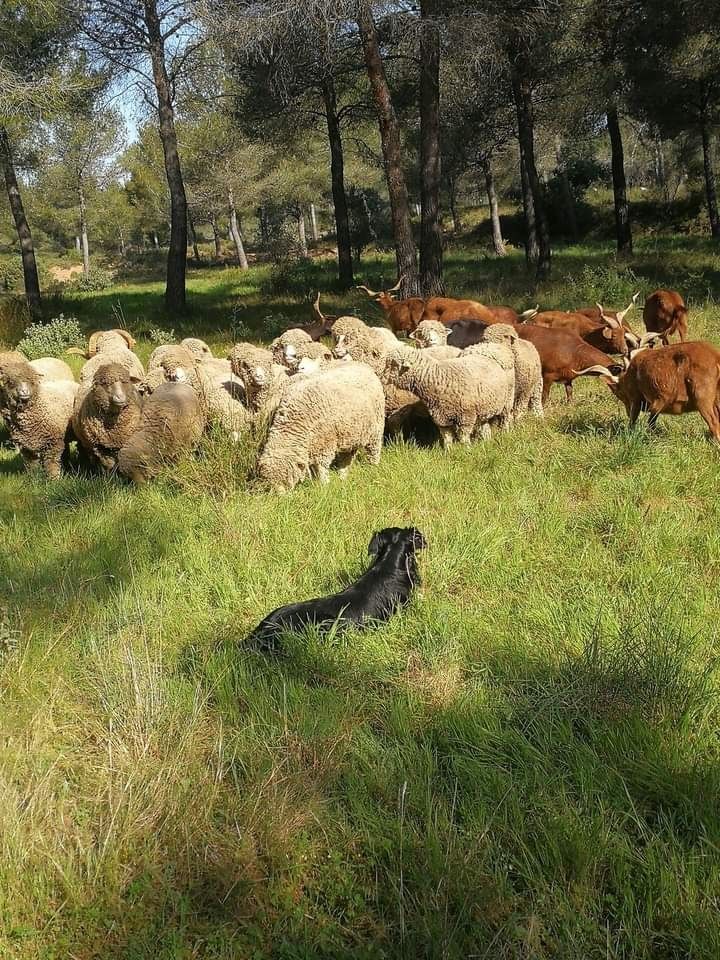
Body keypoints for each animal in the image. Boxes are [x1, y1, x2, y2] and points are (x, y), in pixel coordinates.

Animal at [0, 348, 78, 476]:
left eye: (32, 381)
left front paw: (54, 479)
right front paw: (33, 478)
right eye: (11, 382)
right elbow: (32, 466)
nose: (24, 391)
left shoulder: (53, 443)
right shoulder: (26, 447)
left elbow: (51, 465)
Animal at [256, 362, 386, 492]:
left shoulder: (325, 444)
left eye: (287, 478)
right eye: (269, 482)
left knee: (374, 450)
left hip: (376, 428)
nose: (280, 495)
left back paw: (372, 467)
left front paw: (324, 485)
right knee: (347, 457)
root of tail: (364, 366)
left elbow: (321, 467)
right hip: (351, 433)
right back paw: (342, 475)